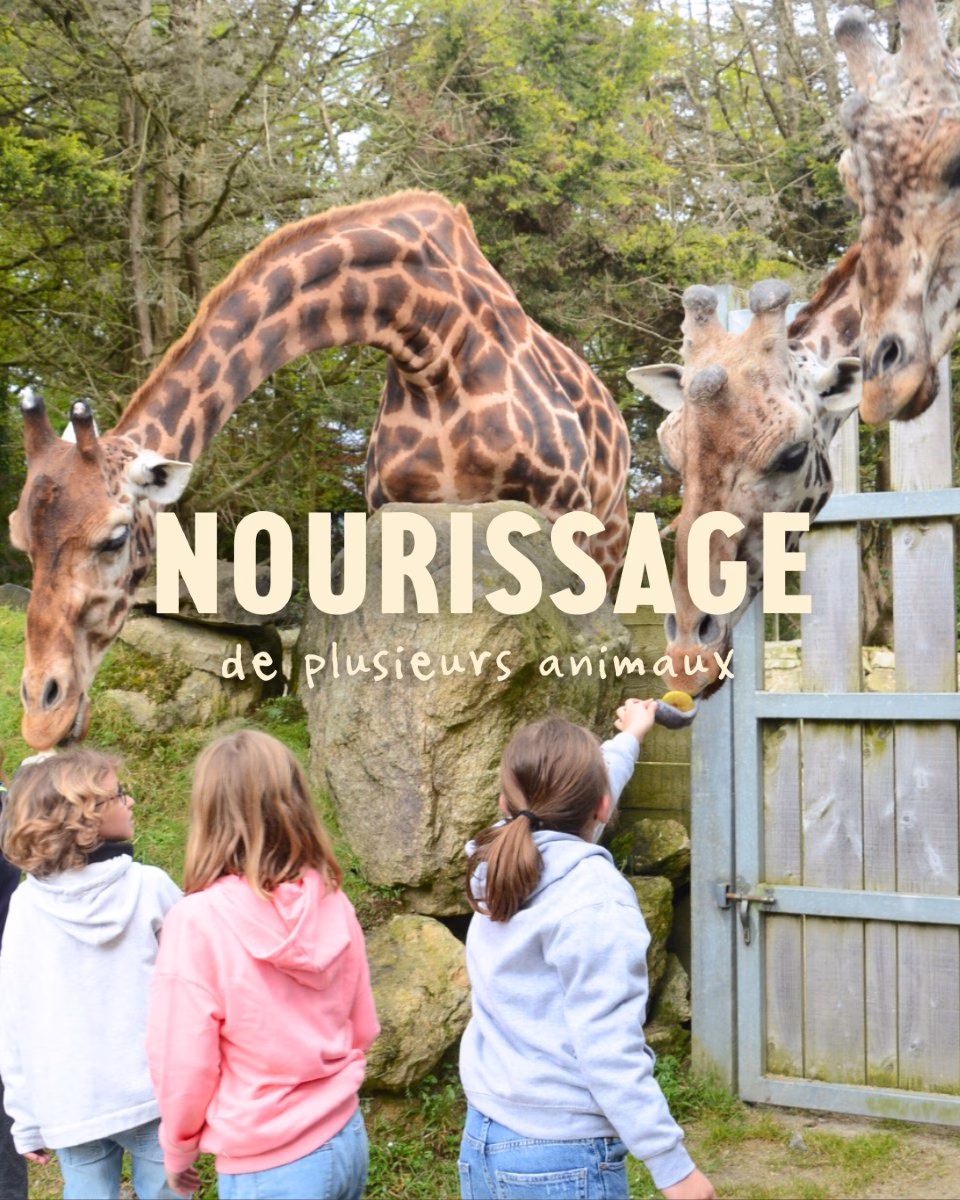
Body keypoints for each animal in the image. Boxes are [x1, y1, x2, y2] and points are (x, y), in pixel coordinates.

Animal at [10, 190, 632, 750]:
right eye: (20, 539)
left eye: (115, 538)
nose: (42, 713)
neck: (434, 342)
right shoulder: (400, 506)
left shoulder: (560, 507)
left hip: (609, 539)